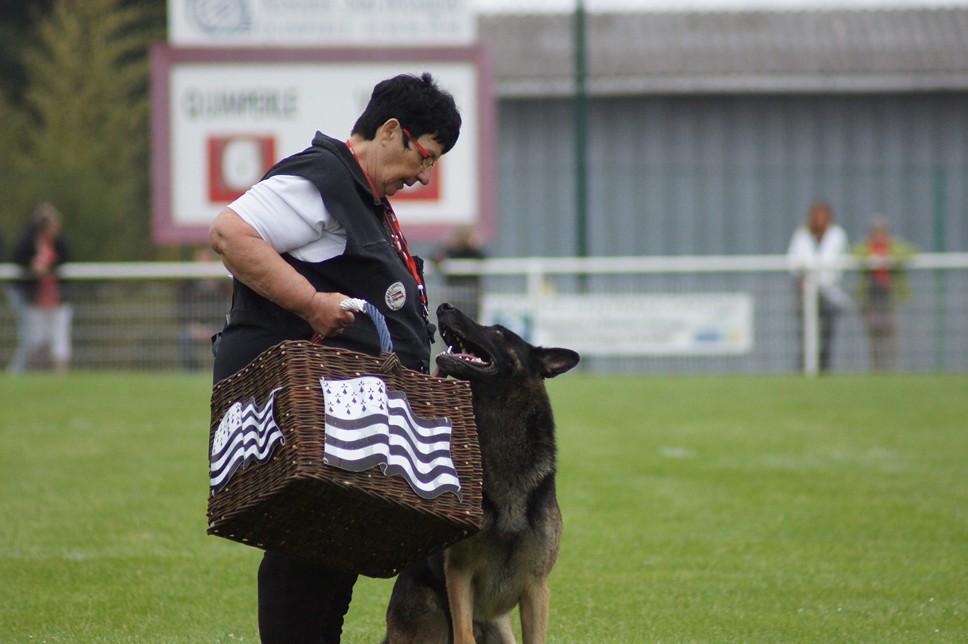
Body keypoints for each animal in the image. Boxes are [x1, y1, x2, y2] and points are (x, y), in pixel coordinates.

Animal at [384, 304, 584, 644]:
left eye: (500, 332)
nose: (444, 307)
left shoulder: (536, 588)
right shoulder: (460, 574)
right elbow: (464, 635)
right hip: (430, 618)